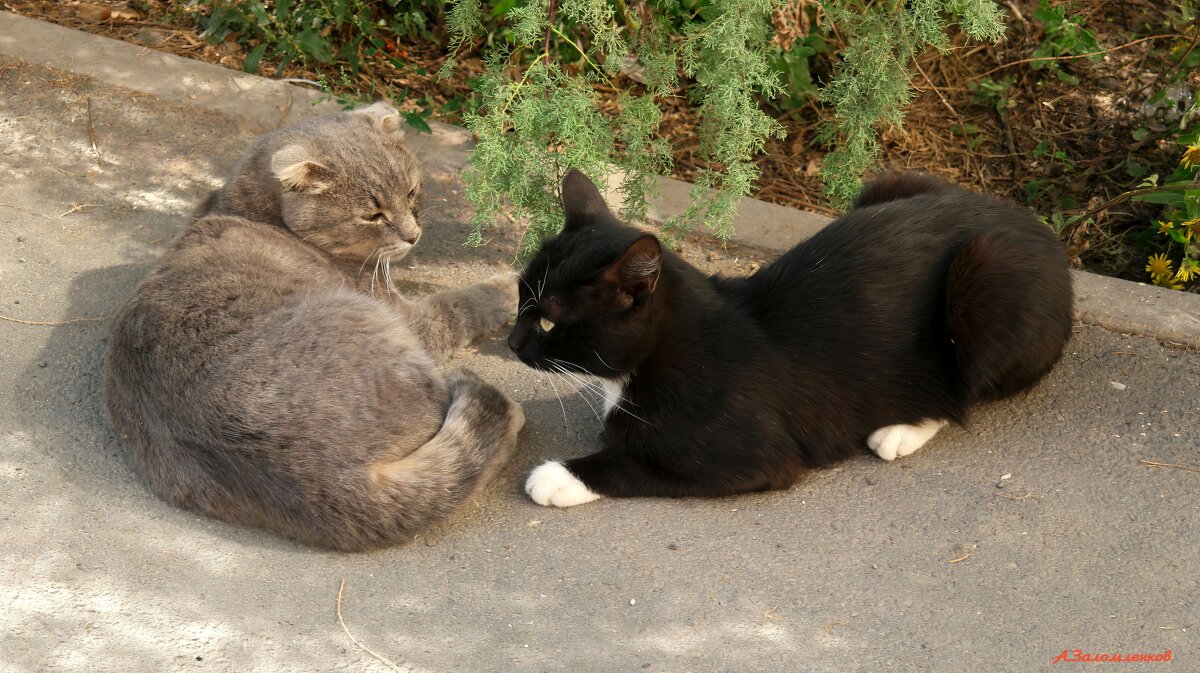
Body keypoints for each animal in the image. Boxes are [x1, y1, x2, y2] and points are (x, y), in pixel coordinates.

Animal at [106, 102, 525, 549]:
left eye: (411, 193)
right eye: (373, 215)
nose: (413, 236)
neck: (248, 208)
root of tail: (330, 483)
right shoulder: (413, 319)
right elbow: (463, 303)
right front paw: (512, 287)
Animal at [506, 167, 1070, 503]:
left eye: (549, 322)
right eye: (518, 298)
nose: (510, 342)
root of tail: (1041, 229)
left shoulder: (754, 458)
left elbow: (635, 465)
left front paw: (558, 476)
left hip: (987, 279)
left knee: (965, 390)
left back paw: (902, 427)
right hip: (889, 181)